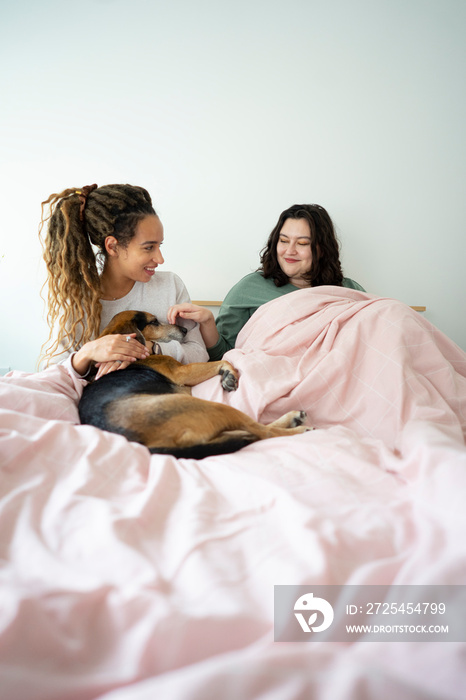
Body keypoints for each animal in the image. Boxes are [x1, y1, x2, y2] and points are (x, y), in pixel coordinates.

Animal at [78, 308, 312, 456]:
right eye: (154, 322)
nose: (184, 330)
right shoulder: (182, 372)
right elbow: (223, 360)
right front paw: (229, 373)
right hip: (212, 408)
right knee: (263, 431)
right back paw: (297, 426)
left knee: (253, 430)